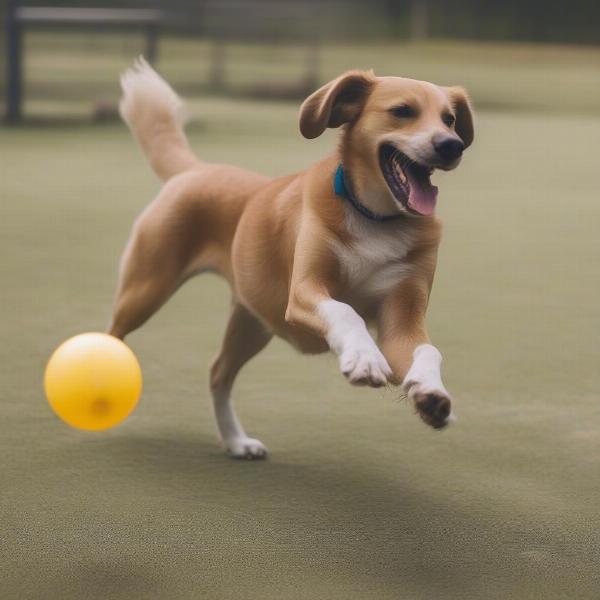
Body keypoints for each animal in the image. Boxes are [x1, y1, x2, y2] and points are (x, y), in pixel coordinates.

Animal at [108, 58, 474, 458]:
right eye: (402, 111)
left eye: (449, 119)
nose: (452, 146)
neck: (375, 219)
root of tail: (194, 169)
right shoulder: (305, 291)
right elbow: (345, 311)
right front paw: (364, 358)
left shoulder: (402, 322)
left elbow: (428, 350)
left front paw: (430, 392)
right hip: (145, 290)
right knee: (112, 337)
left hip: (252, 323)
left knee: (218, 372)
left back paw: (236, 441)